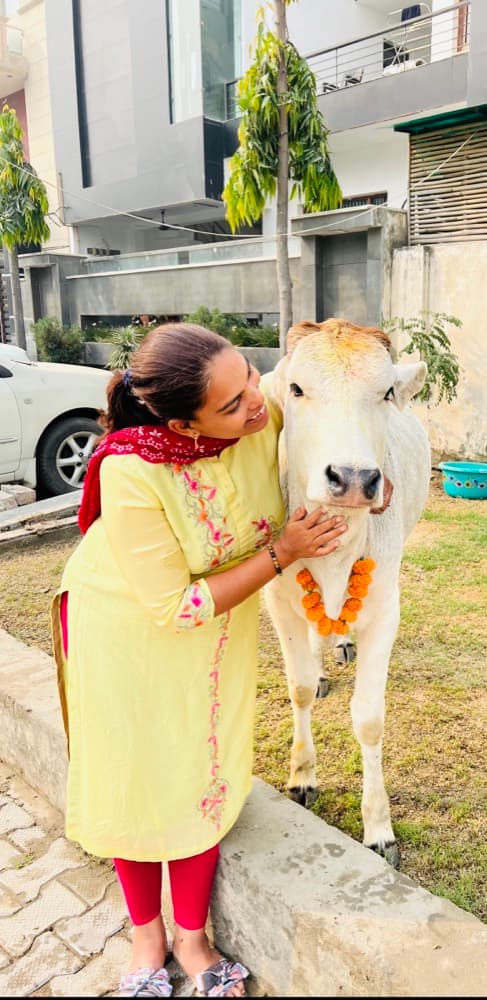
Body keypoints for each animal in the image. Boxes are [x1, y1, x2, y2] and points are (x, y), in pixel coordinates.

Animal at [264, 318, 431, 867]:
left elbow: (370, 719)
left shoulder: (384, 611)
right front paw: (302, 777)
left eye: (385, 392)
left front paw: (379, 827)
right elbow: (296, 689)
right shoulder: (278, 602)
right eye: (295, 389)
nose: (354, 478)